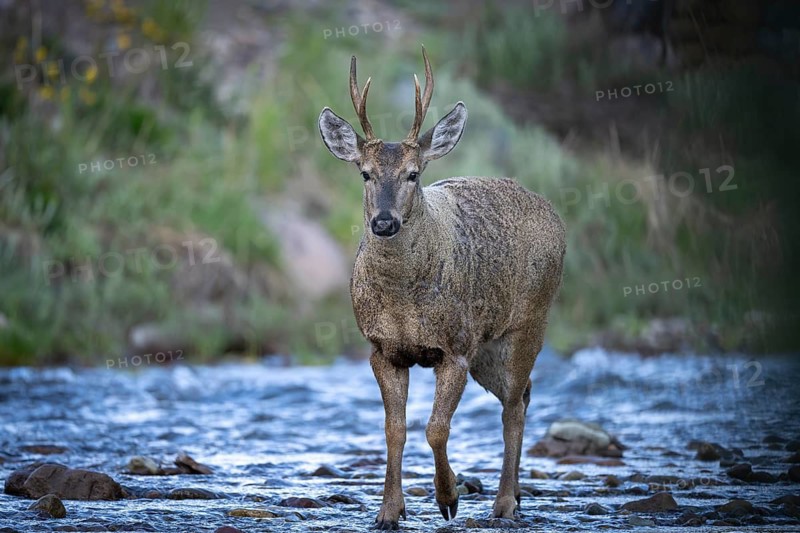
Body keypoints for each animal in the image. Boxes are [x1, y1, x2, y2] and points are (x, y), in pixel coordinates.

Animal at [318, 47, 565, 529]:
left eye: (414, 174)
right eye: (365, 173)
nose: (384, 222)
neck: (403, 301)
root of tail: (550, 209)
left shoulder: (455, 347)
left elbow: (436, 428)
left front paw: (448, 497)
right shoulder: (383, 349)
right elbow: (394, 429)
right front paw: (388, 511)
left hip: (529, 322)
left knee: (513, 406)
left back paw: (504, 505)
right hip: (488, 348)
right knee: (524, 395)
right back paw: (517, 495)